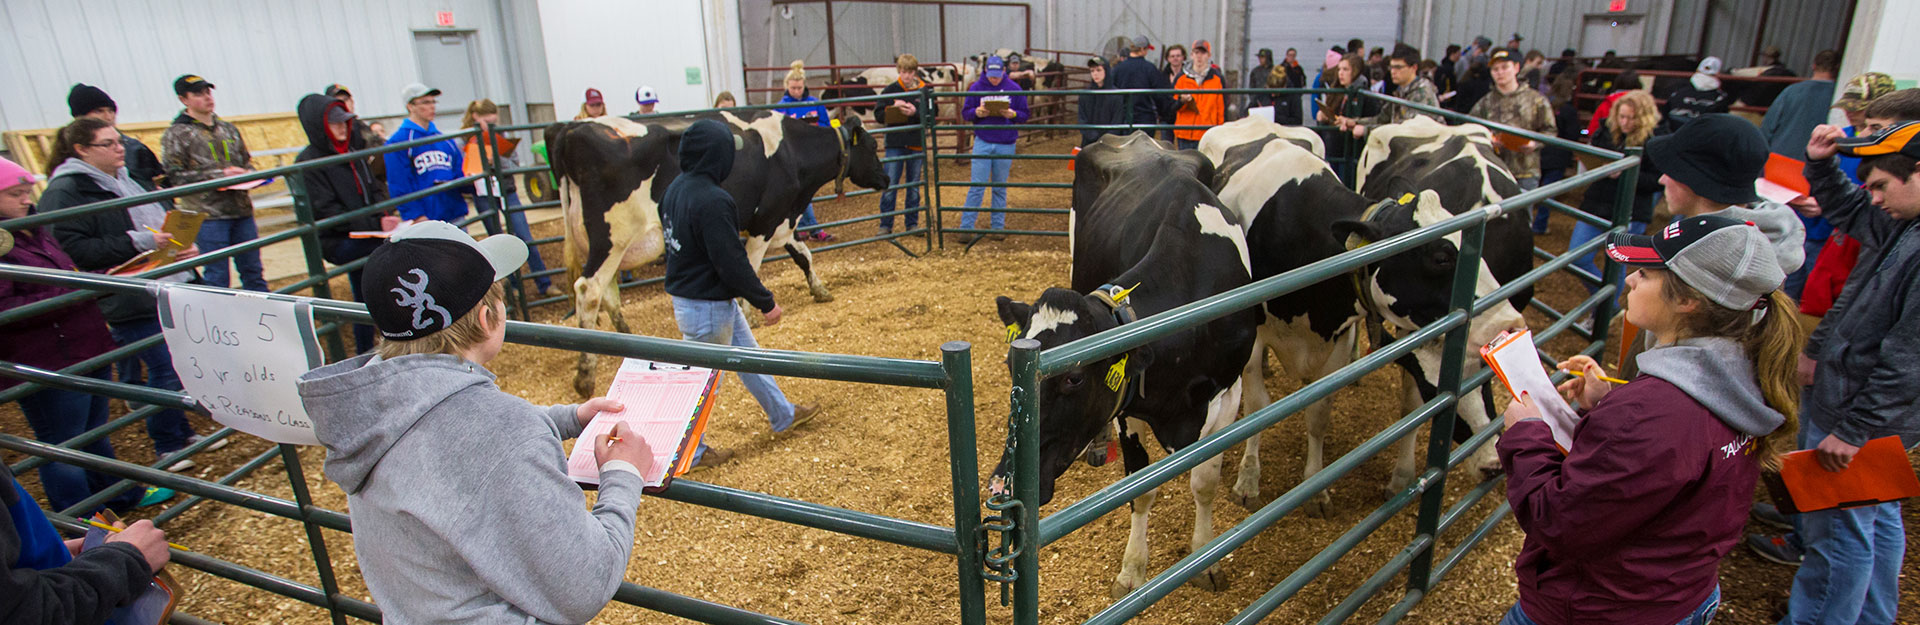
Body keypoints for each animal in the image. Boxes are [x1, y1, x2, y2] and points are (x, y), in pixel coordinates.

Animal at [549, 109, 890, 393]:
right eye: (873, 147)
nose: (886, 178)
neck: (791, 151)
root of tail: (572, 129)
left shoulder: (781, 221)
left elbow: (804, 256)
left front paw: (820, 289)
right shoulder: (765, 222)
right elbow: (752, 269)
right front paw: (751, 315)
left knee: (606, 291)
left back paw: (622, 337)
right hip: (612, 238)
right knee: (589, 290)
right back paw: (585, 374)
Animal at [990, 132, 1259, 594]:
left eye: (1074, 378)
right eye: (1011, 367)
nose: (1002, 485)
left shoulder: (1228, 392)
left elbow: (1204, 482)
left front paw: (1205, 558)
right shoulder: (1127, 406)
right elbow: (1141, 487)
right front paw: (1133, 570)